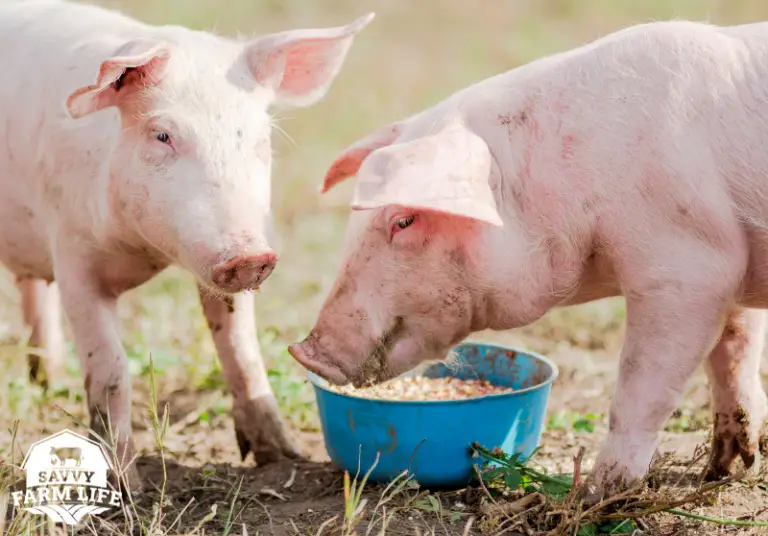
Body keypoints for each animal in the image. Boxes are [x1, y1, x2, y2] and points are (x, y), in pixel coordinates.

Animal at [0, 0, 373, 489]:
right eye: (162, 135)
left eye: (261, 139)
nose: (250, 256)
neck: (143, 253)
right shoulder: (72, 256)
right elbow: (111, 369)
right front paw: (126, 487)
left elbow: (241, 349)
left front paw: (283, 456)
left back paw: (49, 379)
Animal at [289, 20, 768, 502]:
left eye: (404, 220)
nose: (305, 351)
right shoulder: (731, 267)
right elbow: (734, 352)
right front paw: (726, 469)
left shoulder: (688, 267)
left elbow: (641, 384)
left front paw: (599, 494)